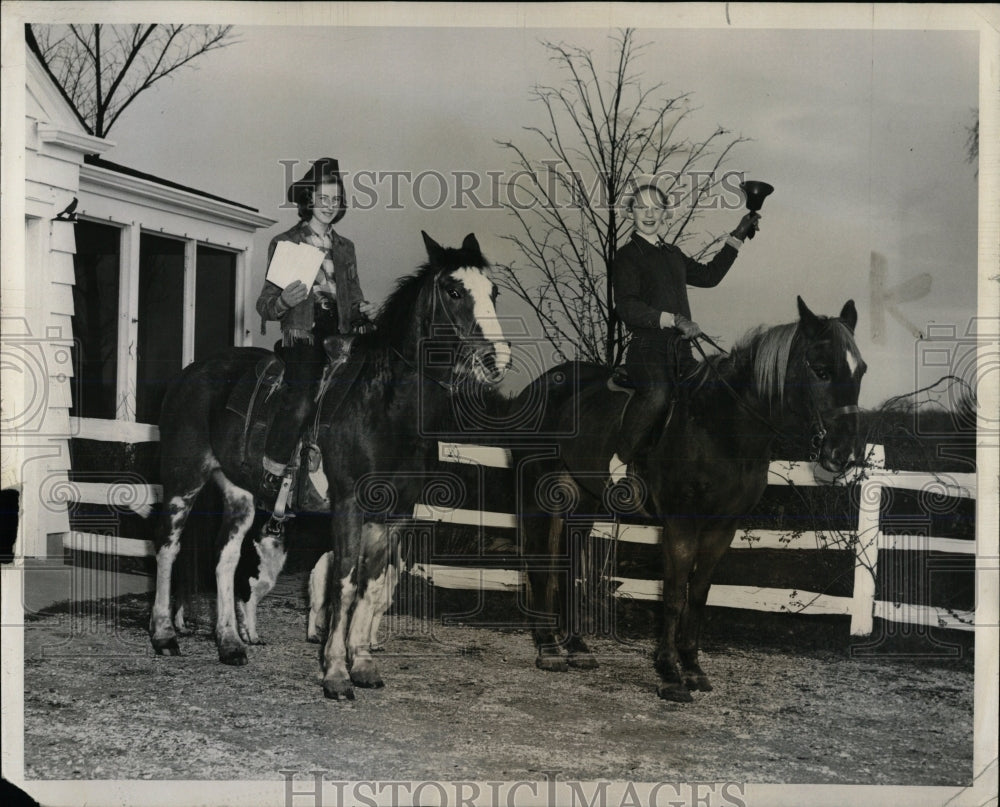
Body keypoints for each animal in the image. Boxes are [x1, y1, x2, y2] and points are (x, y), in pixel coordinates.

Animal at [148, 232, 508, 700]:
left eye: (493, 292)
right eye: (453, 290)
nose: (497, 360)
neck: (385, 409)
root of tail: (190, 373)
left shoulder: (394, 515)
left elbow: (371, 586)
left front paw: (364, 664)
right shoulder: (349, 505)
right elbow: (345, 582)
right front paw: (336, 673)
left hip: (239, 493)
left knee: (225, 560)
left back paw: (229, 643)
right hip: (183, 476)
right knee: (167, 547)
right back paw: (163, 635)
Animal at [520, 296, 864, 700]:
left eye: (861, 371)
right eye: (821, 370)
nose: (844, 453)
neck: (720, 429)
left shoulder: (721, 528)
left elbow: (698, 594)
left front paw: (692, 667)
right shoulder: (680, 524)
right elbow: (673, 595)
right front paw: (669, 672)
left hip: (583, 497)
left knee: (570, 564)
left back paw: (576, 646)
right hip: (536, 492)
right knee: (539, 563)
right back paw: (548, 648)